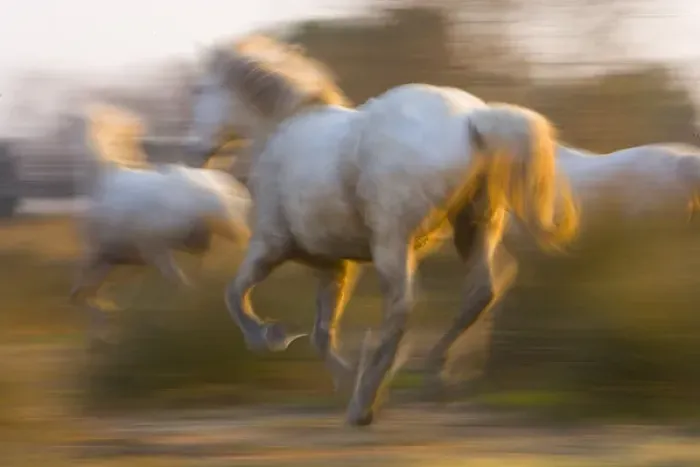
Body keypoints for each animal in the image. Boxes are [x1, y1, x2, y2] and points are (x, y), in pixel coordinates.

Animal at [185, 35, 579, 426]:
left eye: (200, 89)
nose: (192, 152)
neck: (281, 130)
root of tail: (472, 119)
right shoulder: (335, 265)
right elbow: (321, 333)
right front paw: (344, 378)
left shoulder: (271, 247)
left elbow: (235, 295)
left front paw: (272, 337)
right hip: (475, 227)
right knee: (480, 293)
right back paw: (432, 376)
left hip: (394, 242)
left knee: (403, 308)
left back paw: (367, 402)